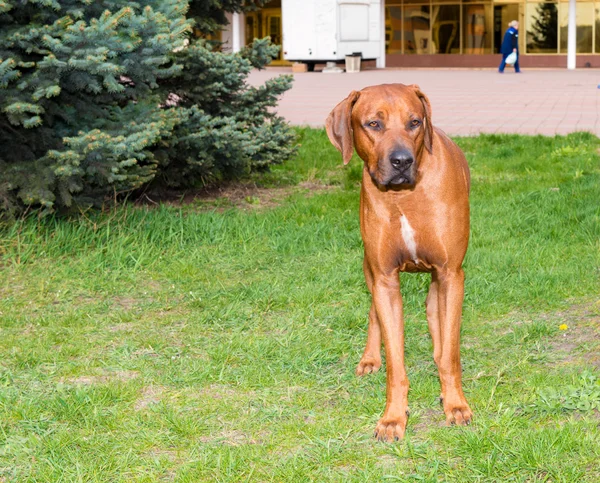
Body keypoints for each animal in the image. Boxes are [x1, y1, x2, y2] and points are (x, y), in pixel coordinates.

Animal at [326, 84, 472, 442]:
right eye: (373, 124)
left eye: (415, 122)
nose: (402, 161)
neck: (404, 196)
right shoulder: (385, 276)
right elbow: (395, 362)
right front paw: (393, 418)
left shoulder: (451, 273)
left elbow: (451, 353)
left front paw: (455, 404)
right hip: (369, 269)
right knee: (373, 310)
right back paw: (369, 358)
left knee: (436, 315)